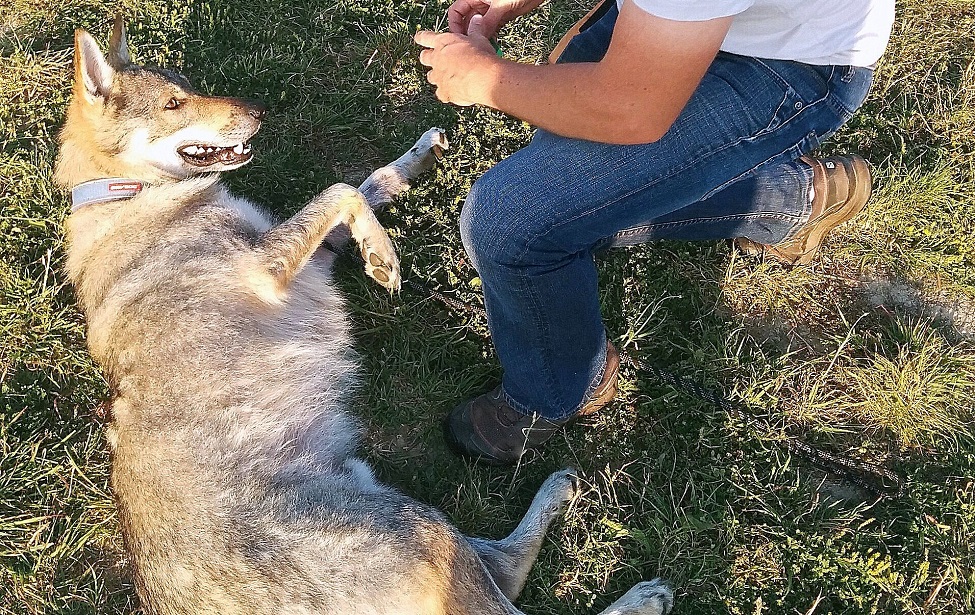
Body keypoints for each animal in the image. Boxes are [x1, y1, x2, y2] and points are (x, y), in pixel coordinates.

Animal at [55, 19, 680, 615]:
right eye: (173, 105)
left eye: (187, 85)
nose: (258, 111)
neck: (125, 195)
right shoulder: (268, 266)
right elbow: (341, 190)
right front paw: (385, 255)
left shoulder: (312, 255)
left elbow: (367, 183)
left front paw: (413, 166)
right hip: (423, 531)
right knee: (504, 577)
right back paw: (637, 588)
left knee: (502, 567)